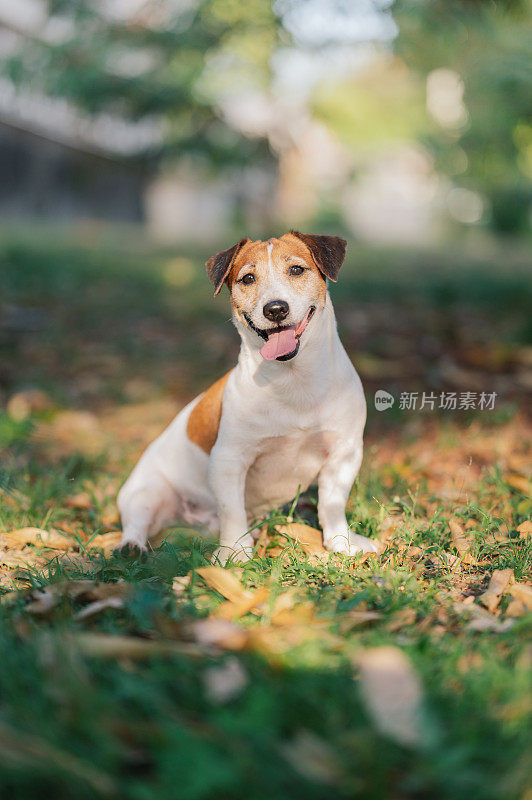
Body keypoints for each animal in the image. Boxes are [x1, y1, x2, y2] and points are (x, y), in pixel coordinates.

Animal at [117, 228, 378, 560]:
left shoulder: (344, 452)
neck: (293, 380)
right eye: (248, 278)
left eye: (297, 270)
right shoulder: (229, 460)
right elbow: (232, 512)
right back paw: (130, 546)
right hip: (144, 494)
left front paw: (340, 541)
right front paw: (235, 552)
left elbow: (332, 504)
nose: (275, 308)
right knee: (136, 522)